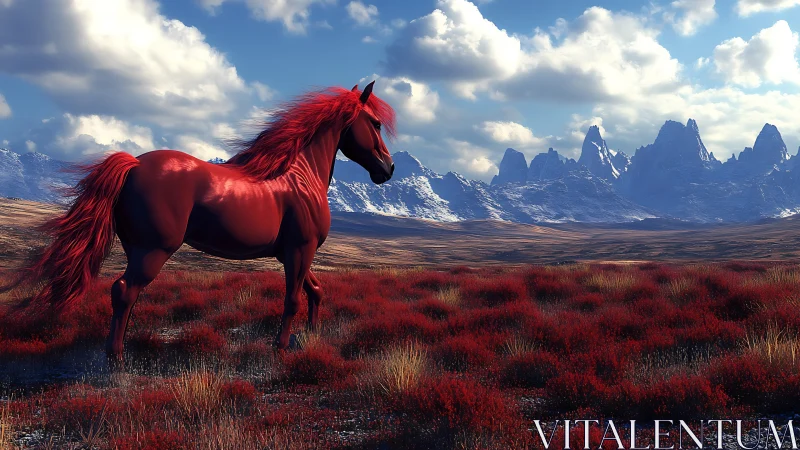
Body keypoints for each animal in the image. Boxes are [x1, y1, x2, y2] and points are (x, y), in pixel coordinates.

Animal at [20, 81, 396, 360]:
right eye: (375, 123)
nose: (388, 169)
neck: (299, 176)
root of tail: (135, 164)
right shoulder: (300, 250)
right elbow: (292, 300)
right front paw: (280, 347)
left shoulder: (292, 253)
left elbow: (315, 290)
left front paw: (312, 334)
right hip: (153, 251)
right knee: (124, 291)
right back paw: (116, 358)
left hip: (137, 250)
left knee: (126, 296)